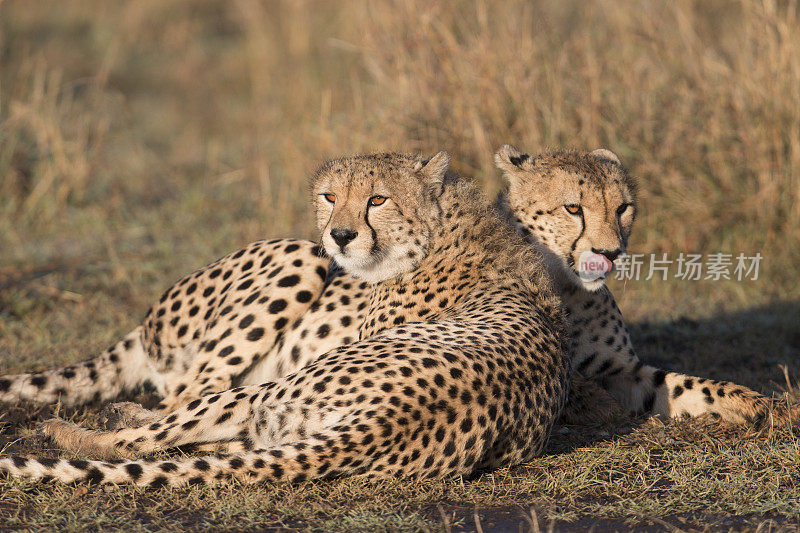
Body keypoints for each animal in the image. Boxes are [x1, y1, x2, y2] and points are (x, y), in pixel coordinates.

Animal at [1, 152, 576, 484]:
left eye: (378, 199)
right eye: (329, 196)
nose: (340, 236)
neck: (445, 227)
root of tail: (383, 422)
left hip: (284, 337)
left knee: (165, 424)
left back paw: (76, 427)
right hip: (298, 287)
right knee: (187, 405)